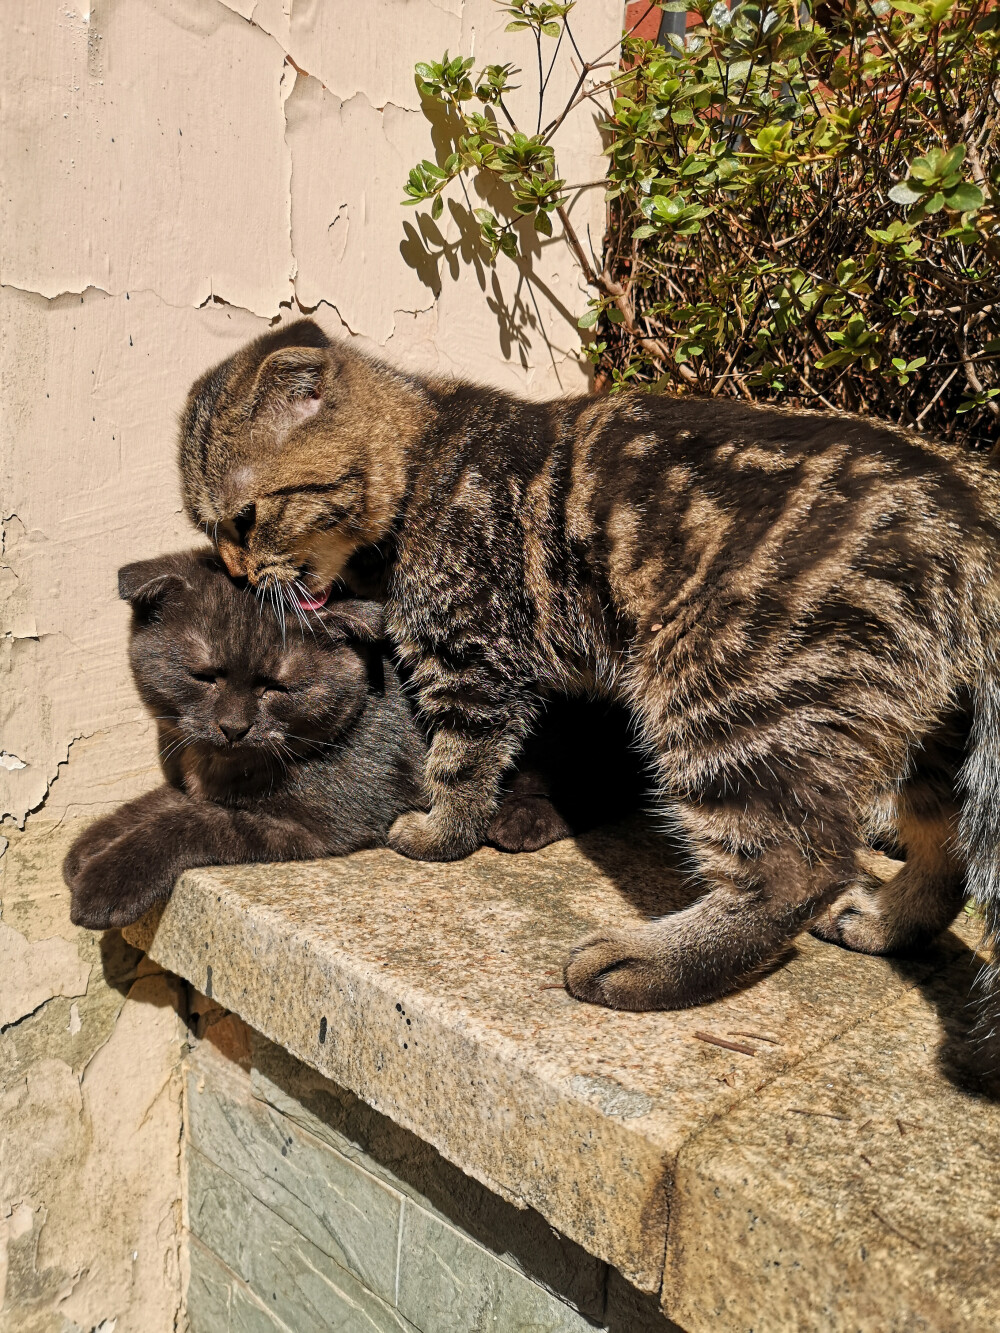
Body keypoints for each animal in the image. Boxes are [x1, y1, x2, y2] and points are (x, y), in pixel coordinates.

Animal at [178, 322, 1000, 1007]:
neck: (422, 460)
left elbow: (459, 762)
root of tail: (969, 509)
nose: (237, 574)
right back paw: (887, 921)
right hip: (930, 733)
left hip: (721, 691)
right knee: (950, 846)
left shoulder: (471, 658)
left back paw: (650, 967)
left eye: (244, 519)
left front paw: (443, 834)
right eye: (207, 528)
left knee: (797, 871)